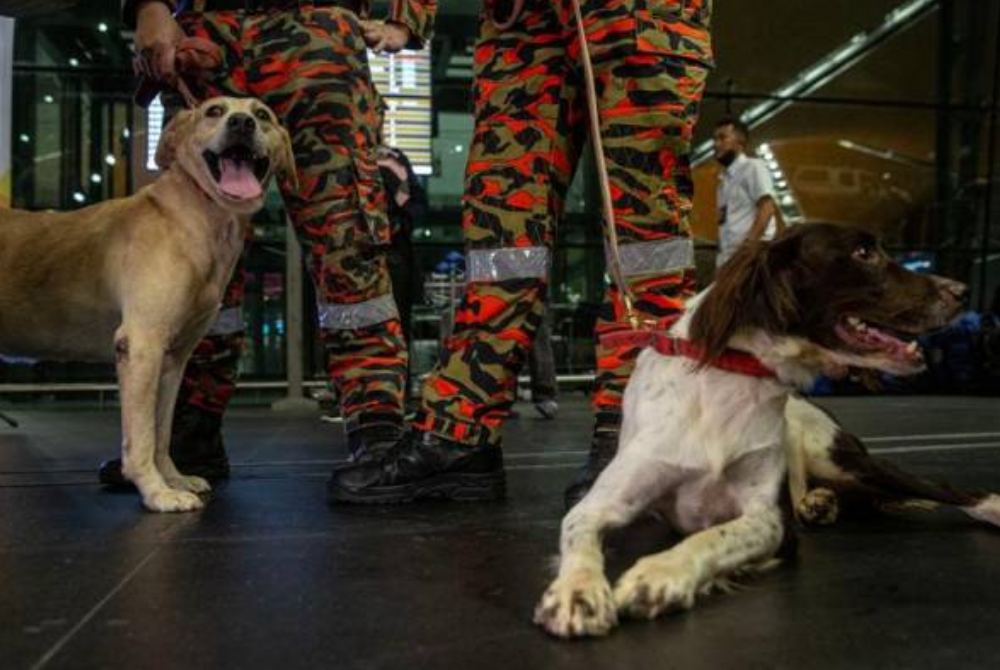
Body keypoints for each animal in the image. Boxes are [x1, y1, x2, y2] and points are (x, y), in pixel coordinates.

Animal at [0, 96, 294, 516]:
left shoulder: (172, 358)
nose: (242, 123)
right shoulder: (141, 345)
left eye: (263, 115)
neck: (193, 217)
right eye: (214, 111)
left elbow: (161, 431)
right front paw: (156, 492)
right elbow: (140, 436)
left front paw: (173, 477)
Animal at [536, 223, 996, 636]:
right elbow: (577, 530)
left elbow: (714, 536)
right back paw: (819, 502)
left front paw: (659, 575)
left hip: (844, 460)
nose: (960, 291)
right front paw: (577, 591)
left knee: (946, 487)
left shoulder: (772, 521)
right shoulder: (606, 501)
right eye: (864, 253)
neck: (731, 378)